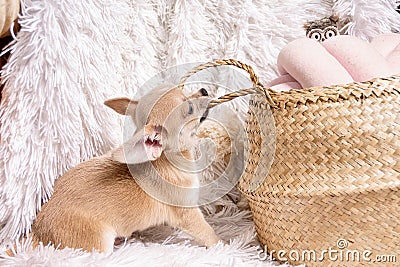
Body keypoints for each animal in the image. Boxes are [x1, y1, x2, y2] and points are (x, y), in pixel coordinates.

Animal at [29, 85, 220, 253]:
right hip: (99, 241)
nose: (204, 90)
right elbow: (207, 233)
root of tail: (37, 231)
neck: (165, 159)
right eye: (189, 109)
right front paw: (223, 246)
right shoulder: (187, 213)